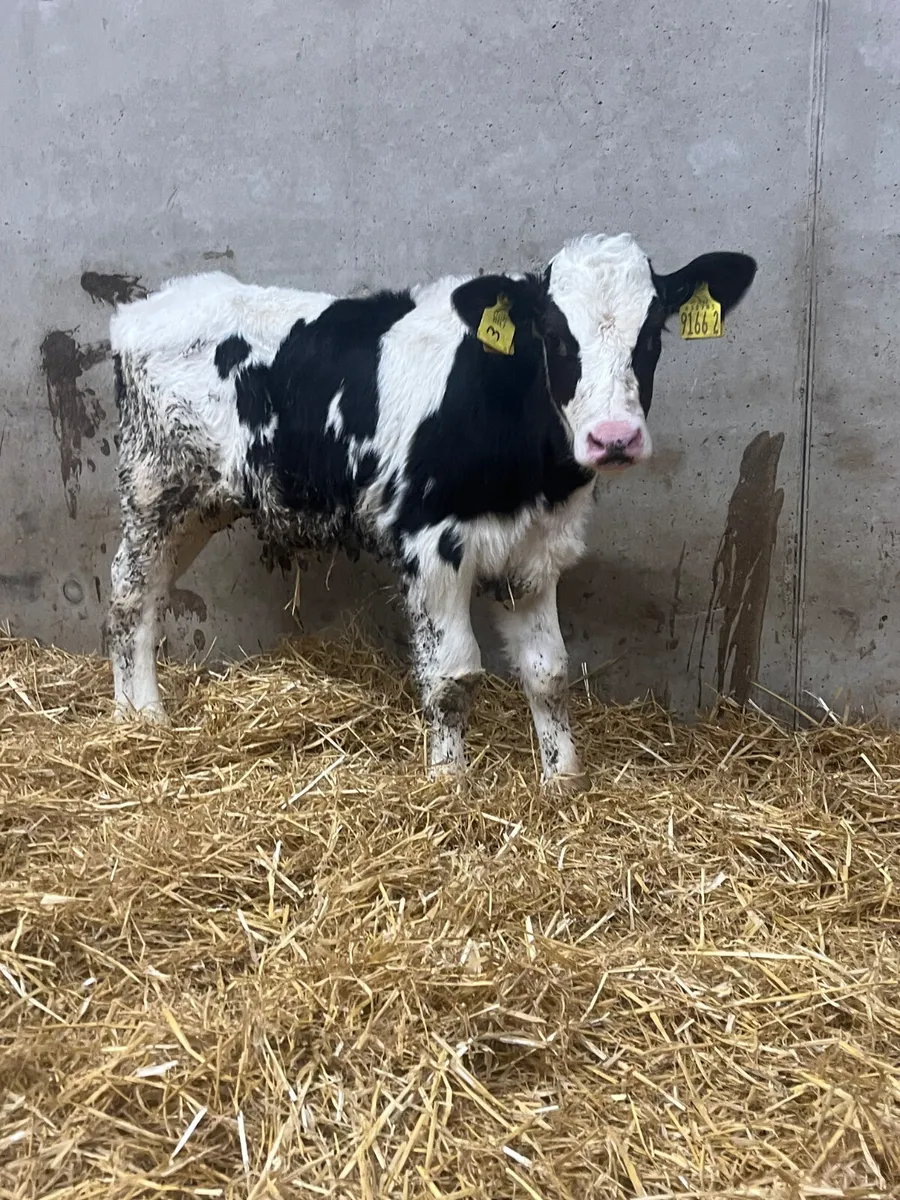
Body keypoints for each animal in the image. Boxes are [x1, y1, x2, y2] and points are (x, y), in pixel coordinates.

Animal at [106, 233, 756, 789]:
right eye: (554, 334)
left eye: (653, 334)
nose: (614, 438)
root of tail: (142, 310)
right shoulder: (431, 543)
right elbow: (451, 674)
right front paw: (449, 783)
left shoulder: (535, 550)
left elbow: (548, 672)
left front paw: (562, 782)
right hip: (154, 487)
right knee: (128, 595)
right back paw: (142, 719)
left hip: (200, 507)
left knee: (154, 593)